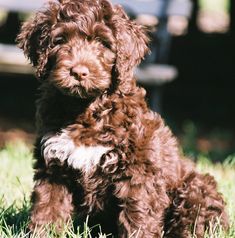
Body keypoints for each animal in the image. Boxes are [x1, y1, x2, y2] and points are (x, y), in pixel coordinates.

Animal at [17, 0, 229, 236]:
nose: (79, 72)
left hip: (196, 189)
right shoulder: (53, 166)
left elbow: (138, 216)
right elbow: (48, 209)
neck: (85, 109)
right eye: (60, 40)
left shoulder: (137, 173)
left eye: (102, 43)